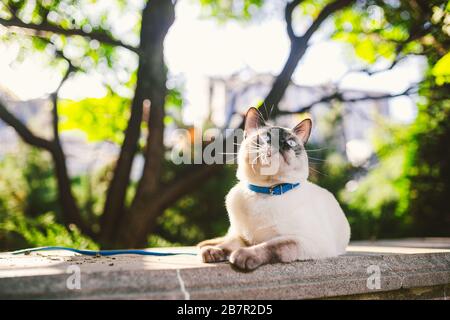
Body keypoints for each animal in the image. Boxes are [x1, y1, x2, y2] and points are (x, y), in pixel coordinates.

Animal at [199, 107, 350, 270]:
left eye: (291, 142)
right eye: (267, 137)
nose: (283, 143)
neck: (266, 190)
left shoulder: (306, 240)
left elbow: (271, 245)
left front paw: (242, 256)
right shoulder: (243, 237)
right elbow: (229, 244)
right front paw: (213, 251)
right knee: (226, 237)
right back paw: (205, 246)